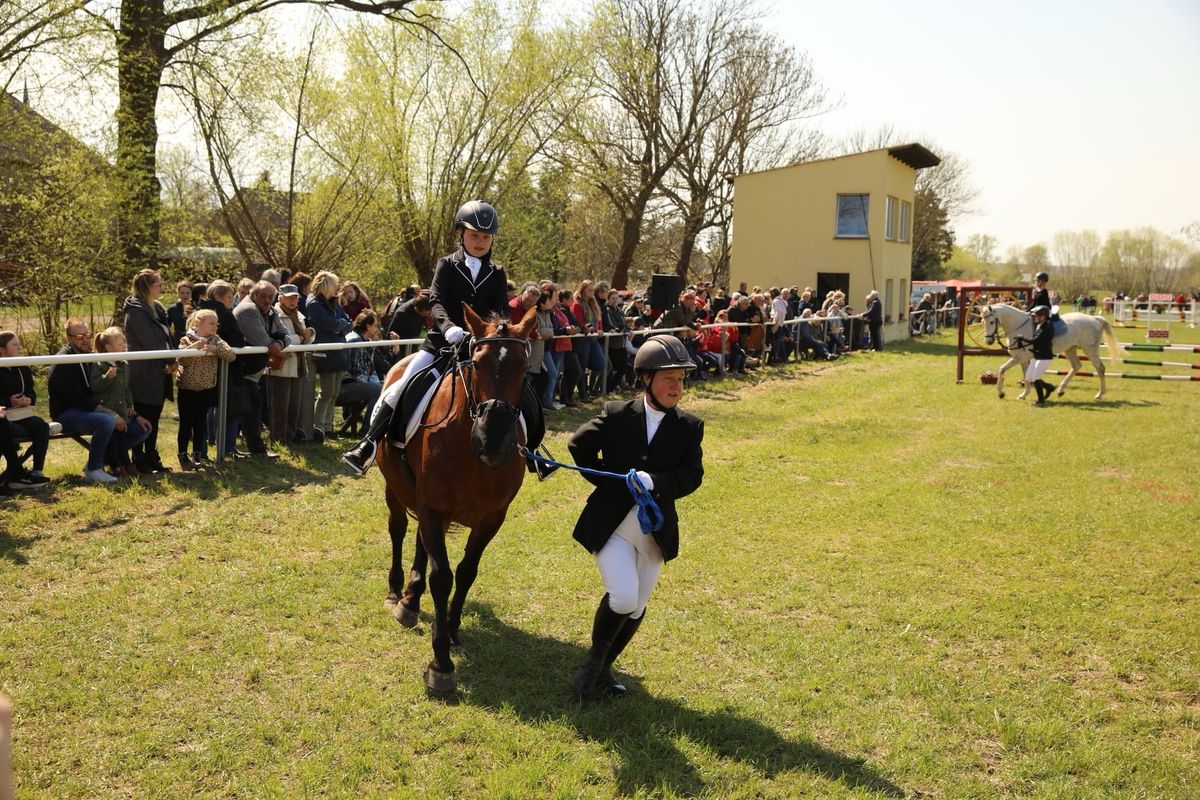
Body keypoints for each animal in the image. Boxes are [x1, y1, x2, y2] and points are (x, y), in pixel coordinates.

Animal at [379, 303, 540, 690]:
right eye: (477, 363)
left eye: (523, 367)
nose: (493, 440)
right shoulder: (433, 507)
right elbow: (442, 578)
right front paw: (441, 664)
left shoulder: (491, 517)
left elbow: (467, 572)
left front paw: (451, 631)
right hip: (396, 488)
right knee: (398, 529)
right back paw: (397, 593)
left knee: (421, 542)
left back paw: (411, 599)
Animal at [979, 303, 1118, 400]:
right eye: (982, 321)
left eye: (991, 322)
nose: (988, 341)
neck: (1018, 327)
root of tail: (1094, 318)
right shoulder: (1023, 359)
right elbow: (1026, 375)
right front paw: (1024, 394)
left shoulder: (1020, 358)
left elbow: (1002, 369)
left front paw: (1001, 393)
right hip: (1070, 349)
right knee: (1076, 366)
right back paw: (1061, 390)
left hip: (1090, 349)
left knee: (1100, 369)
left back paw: (1099, 394)